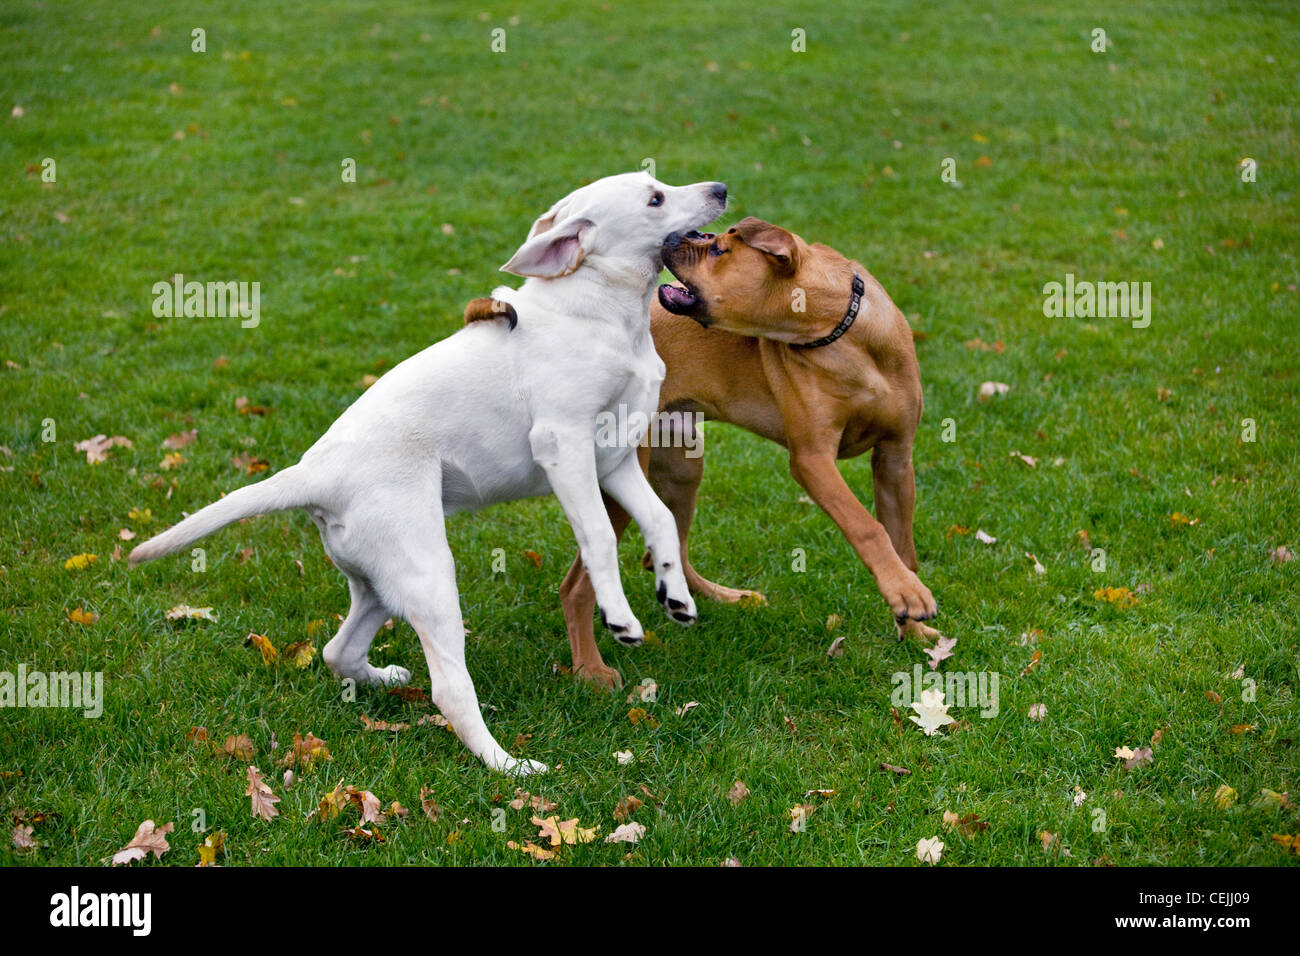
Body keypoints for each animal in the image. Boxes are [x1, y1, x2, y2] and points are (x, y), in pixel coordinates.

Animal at [131, 171, 733, 775]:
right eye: (654, 198)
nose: (722, 189)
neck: (605, 313)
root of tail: (313, 474)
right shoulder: (564, 447)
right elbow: (601, 538)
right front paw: (620, 617)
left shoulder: (613, 458)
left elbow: (659, 520)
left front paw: (675, 594)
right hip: (431, 575)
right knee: (449, 690)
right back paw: (509, 766)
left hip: (382, 582)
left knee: (337, 650)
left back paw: (382, 678)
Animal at [473, 223, 941, 686]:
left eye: (718, 250)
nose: (675, 236)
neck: (841, 332)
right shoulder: (813, 461)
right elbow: (867, 527)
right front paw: (906, 594)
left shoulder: (895, 459)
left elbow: (902, 546)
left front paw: (913, 624)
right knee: (577, 587)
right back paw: (590, 671)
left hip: (683, 464)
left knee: (666, 553)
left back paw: (723, 598)